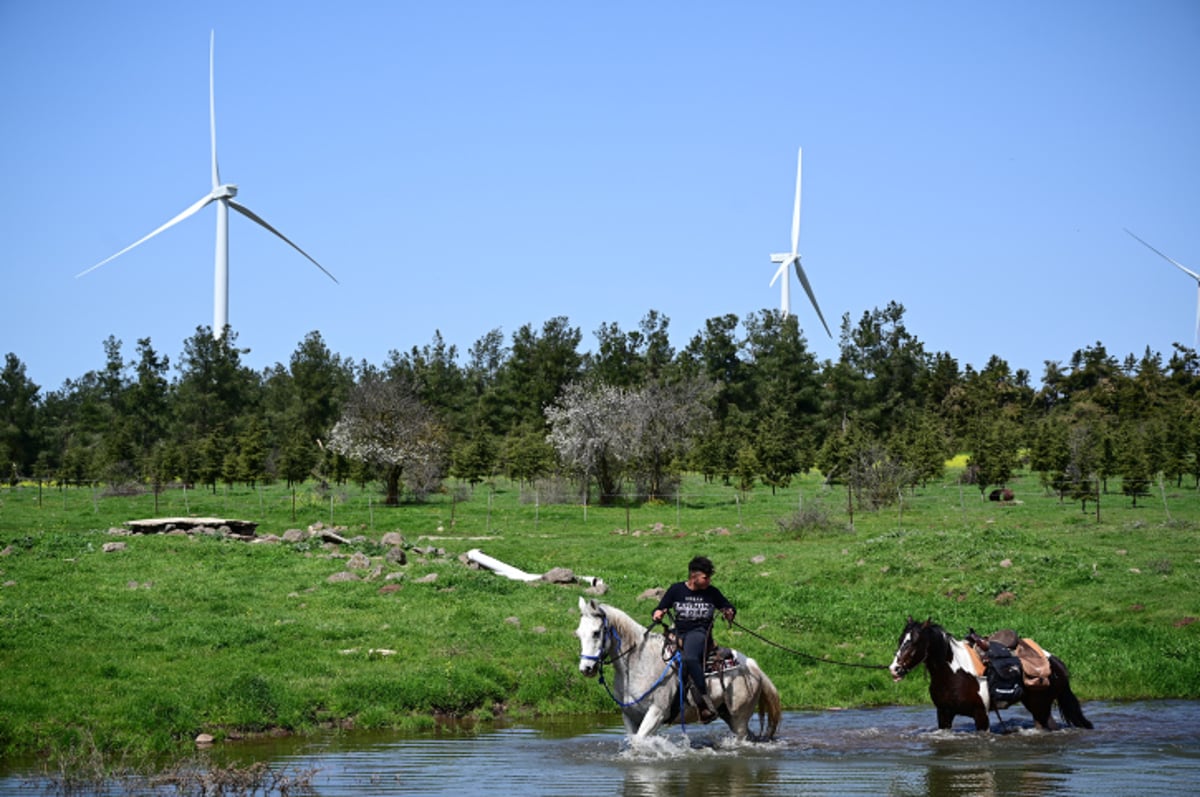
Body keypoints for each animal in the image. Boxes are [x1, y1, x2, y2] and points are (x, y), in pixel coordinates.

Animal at [888, 614, 1094, 734]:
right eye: (900, 640)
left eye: (914, 643)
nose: (894, 669)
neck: (953, 673)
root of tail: (1057, 663)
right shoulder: (944, 714)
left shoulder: (981, 715)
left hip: (1040, 707)